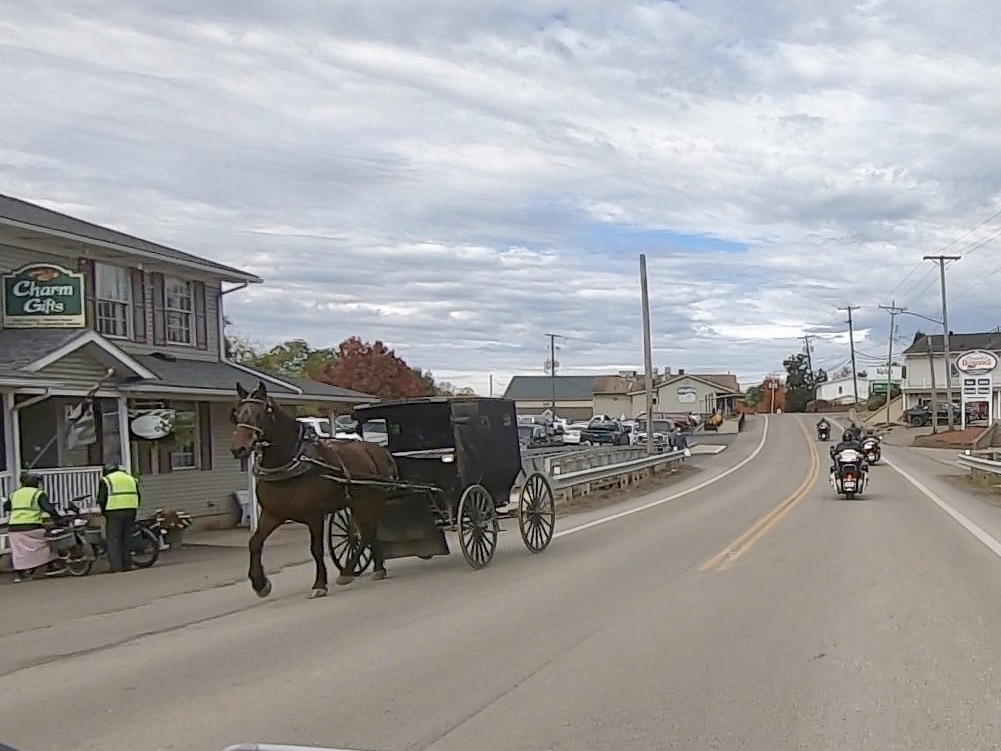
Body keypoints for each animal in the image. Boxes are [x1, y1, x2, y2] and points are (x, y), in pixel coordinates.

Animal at [229, 380, 396, 599]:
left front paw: (319, 584)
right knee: (368, 531)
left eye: (260, 413)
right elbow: (254, 542)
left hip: (369, 500)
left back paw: (348, 571)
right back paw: (377, 568)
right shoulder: (273, 513)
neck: (293, 461)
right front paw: (260, 584)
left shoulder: (314, 515)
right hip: (357, 502)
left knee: (367, 533)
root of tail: (379, 450)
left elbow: (316, 549)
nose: (238, 448)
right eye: (237, 413)